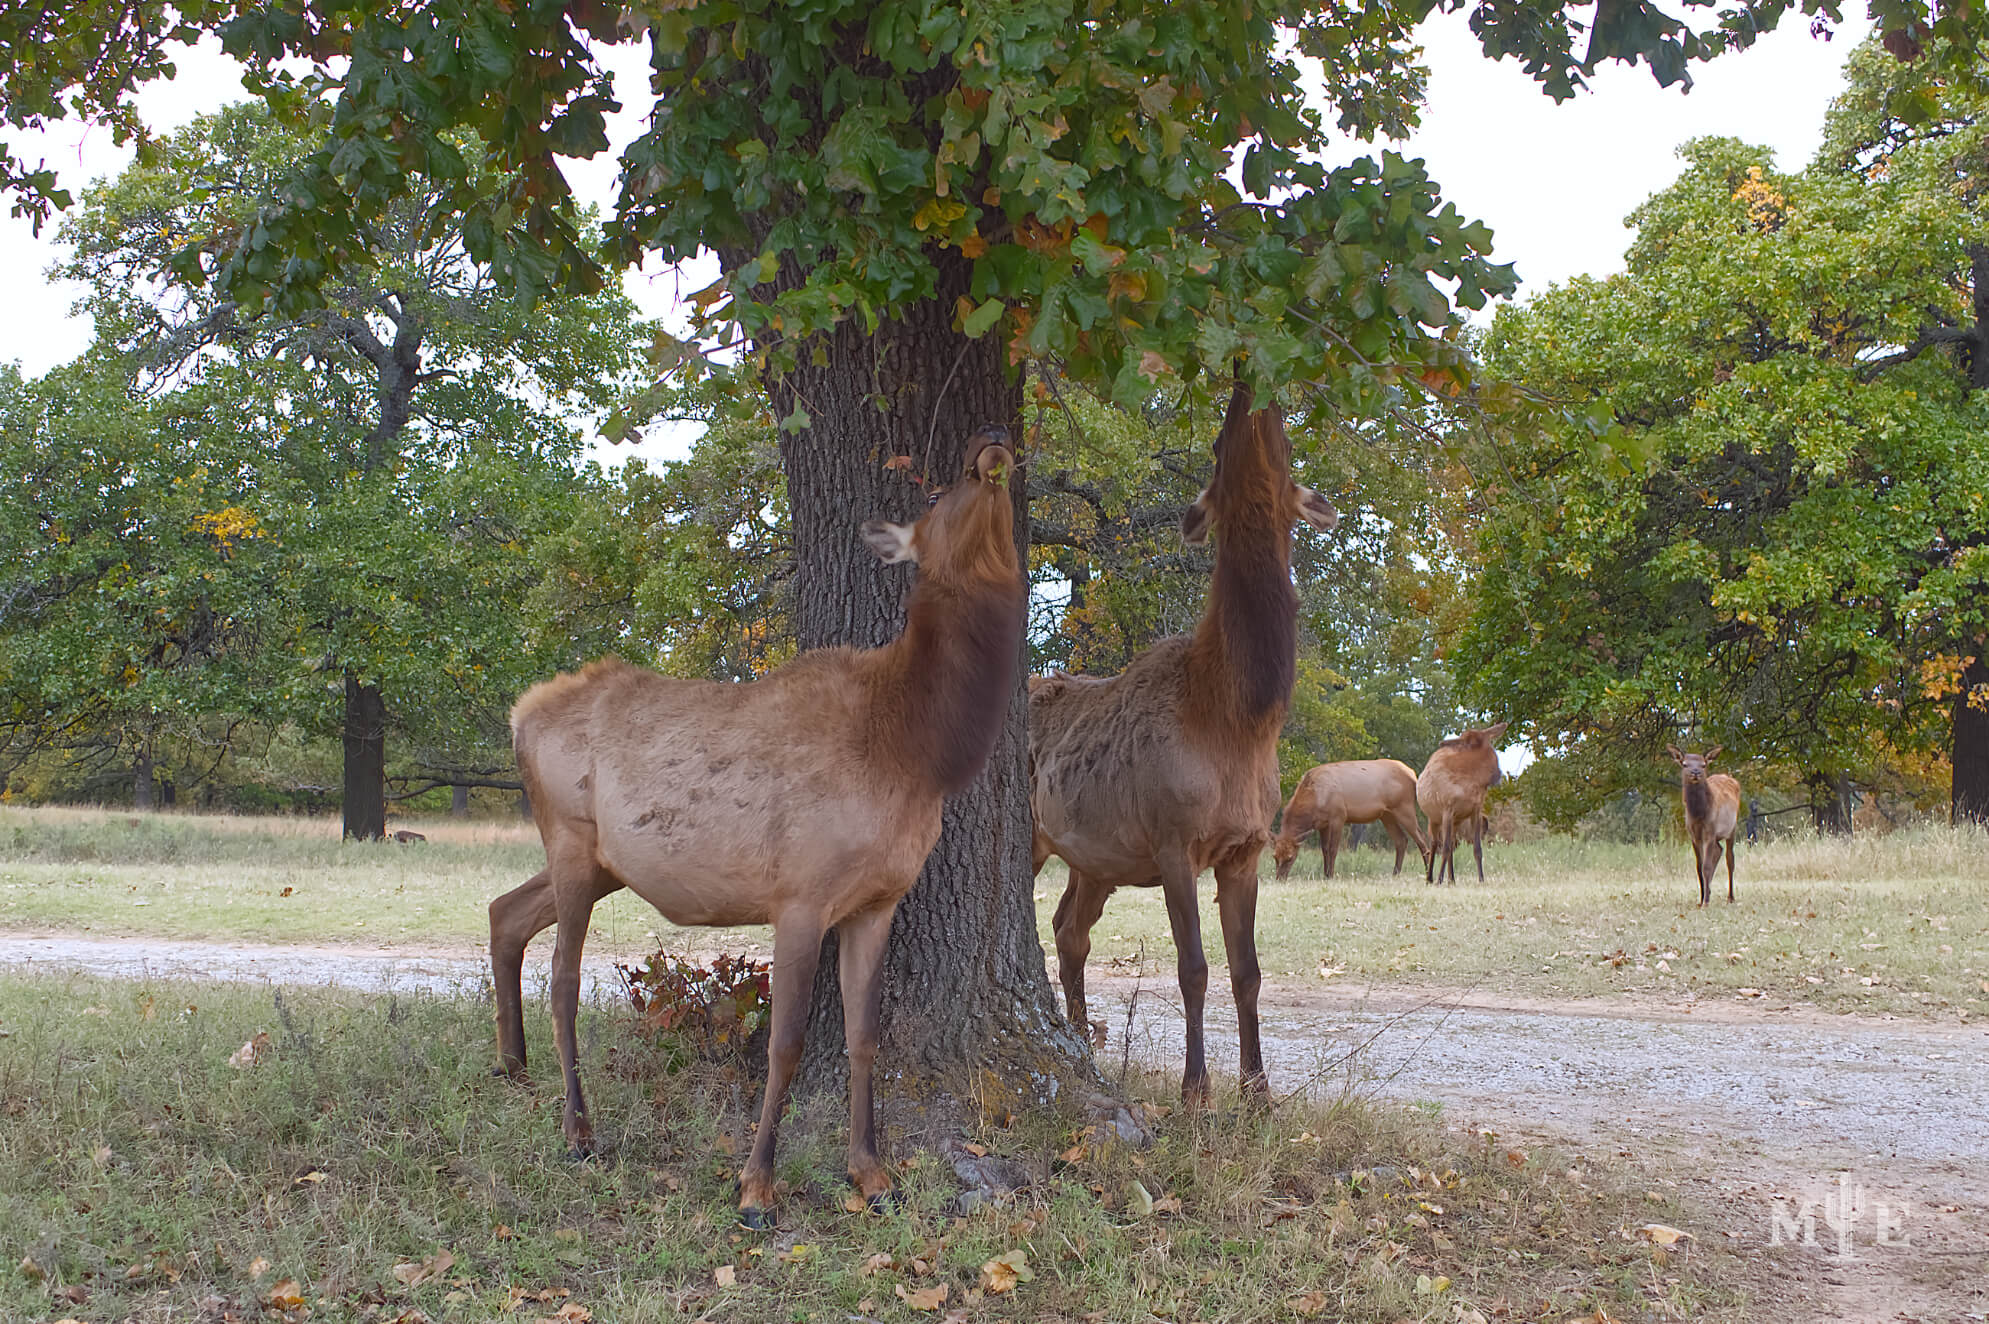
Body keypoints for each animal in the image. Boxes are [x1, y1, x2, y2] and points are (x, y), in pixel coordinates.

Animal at [487, 430, 1025, 1229]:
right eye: (938, 489)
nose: (990, 443)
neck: (918, 749)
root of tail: (519, 715)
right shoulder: (800, 893)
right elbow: (786, 1041)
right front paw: (756, 1188)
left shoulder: (877, 902)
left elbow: (864, 1038)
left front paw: (874, 1176)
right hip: (573, 840)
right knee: (564, 978)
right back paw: (578, 1132)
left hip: (599, 861)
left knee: (504, 911)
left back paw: (514, 1069)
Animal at [1030, 383, 1337, 1101]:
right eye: (1219, 443)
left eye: (1284, 442)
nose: (1249, 392)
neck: (1238, 720)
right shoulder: (1173, 843)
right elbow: (1192, 968)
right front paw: (1195, 1091)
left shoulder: (1245, 848)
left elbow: (1248, 972)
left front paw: (1257, 1093)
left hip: (1091, 859)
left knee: (1069, 931)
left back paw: (1083, 1043)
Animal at [1270, 759, 1429, 880]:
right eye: (1275, 857)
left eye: (1290, 857)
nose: (1279, 878)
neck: (1315, 801)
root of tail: (1414, 776)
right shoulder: (1322, 824)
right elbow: (1324, 849)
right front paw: (1325, 875)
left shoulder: (1339, 816)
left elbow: (1333, 849)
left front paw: (1330, 876)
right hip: (1386, 814)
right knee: (1401, 840)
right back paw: (1395, 874)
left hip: (1404, 807)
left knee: (1422, 839)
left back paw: (1428, 874)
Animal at [1417, 723, 1508, 885]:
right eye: (1473, 743)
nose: (1496, 773)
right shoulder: (1447, 810)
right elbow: (1445, 848)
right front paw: (1439, 880)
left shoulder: (1476, 811)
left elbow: (1477, 849)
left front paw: (1481, 879)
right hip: (1434, 818)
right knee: (1435, 843)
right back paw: (1430, 878)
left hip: (1456, 821)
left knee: (1452, 844)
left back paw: (1452, 879)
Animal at [1667, 745, 1741, 906]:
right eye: (1684, 764)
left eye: (1703, 764)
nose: (1695, 772)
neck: (1699, 814)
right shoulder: (1694, 836)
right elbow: (1699, 867)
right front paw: (1701, 899)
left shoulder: (1710, 832)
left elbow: (1706, 867)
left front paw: (1706, 902)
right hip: (1717, 836)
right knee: (1719, 850)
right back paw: (1710, 891)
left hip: (1732, 828)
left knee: (1730, 859)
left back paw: (1730, 897)